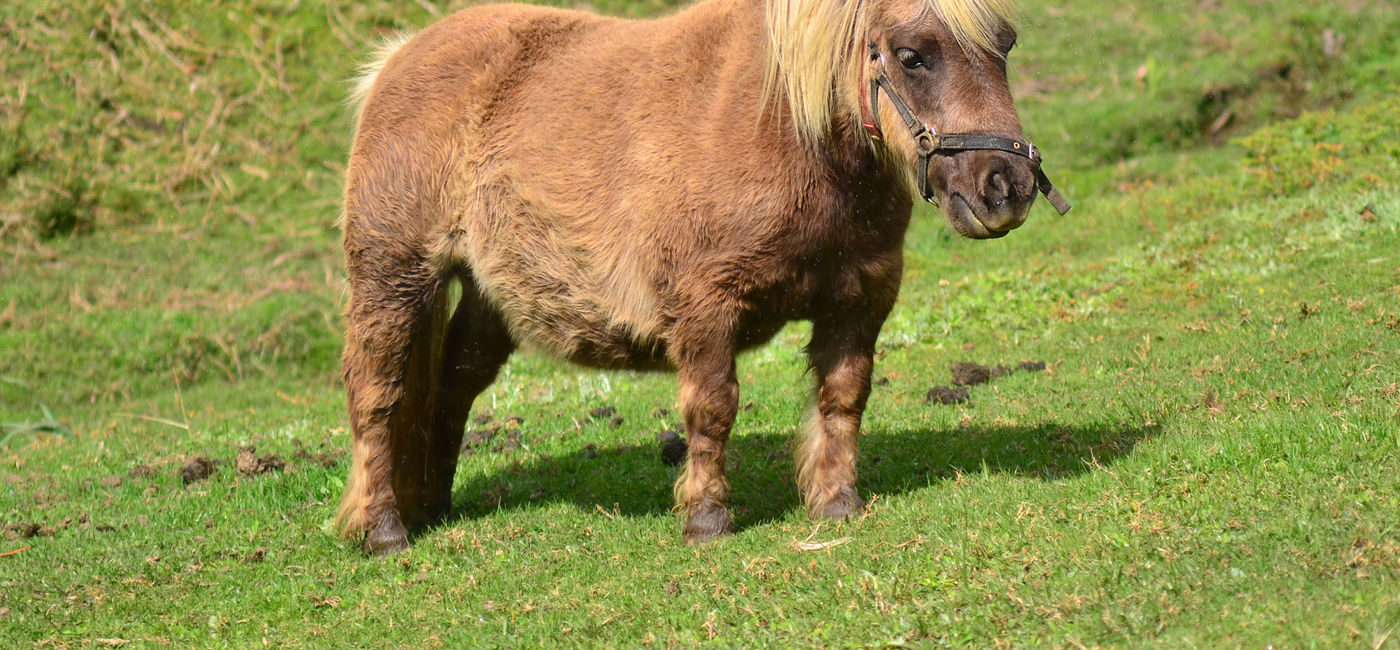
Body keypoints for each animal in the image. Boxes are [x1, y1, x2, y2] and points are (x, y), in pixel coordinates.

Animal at [335, 0, 1069, 555]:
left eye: (1004, 48)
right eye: (914, 55)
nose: (1006, 187)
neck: (785, 133)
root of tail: (393, 61)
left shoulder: (860, 300)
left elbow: (843, 400)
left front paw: (836, 503)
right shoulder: (705, 308)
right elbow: (712, 408)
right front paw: (707, 519)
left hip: (491, 299)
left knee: (453, 386)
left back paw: (435, 504)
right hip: (393, 280)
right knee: (377, 399)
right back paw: (385, 530)